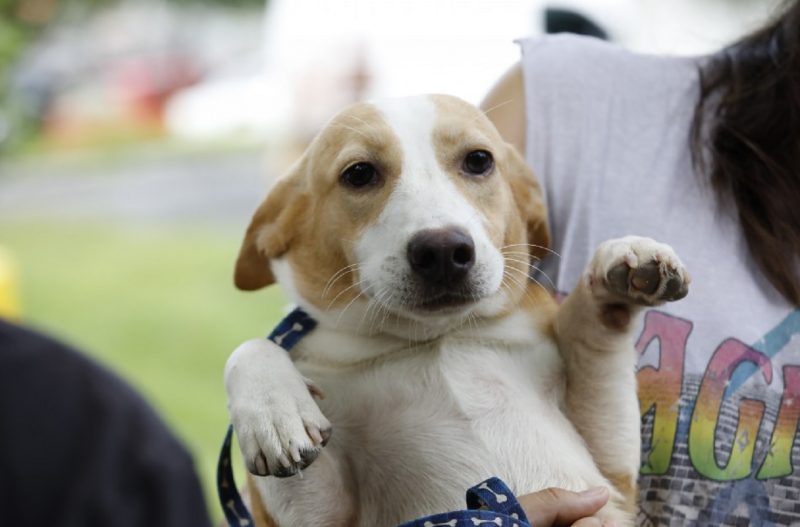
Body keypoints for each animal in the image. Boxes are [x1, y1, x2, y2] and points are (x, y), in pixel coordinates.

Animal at [223, 95, 688, 527]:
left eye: (479, 160)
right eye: (358, 173)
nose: (443, 250)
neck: (438, 338)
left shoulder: (612, 479)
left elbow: (596, 335)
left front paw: (625, 260)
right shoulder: (320, 517)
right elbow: (250, 347)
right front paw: (273, 411)